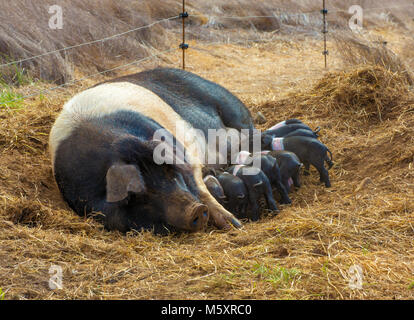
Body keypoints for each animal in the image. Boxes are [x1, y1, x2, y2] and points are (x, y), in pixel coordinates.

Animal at [48, 67, 252, 234]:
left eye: (170, 171)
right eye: (139, 196)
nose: (195, 210)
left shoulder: (186, 157)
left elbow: (199, 186)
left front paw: (235, 225)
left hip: (229, 105)